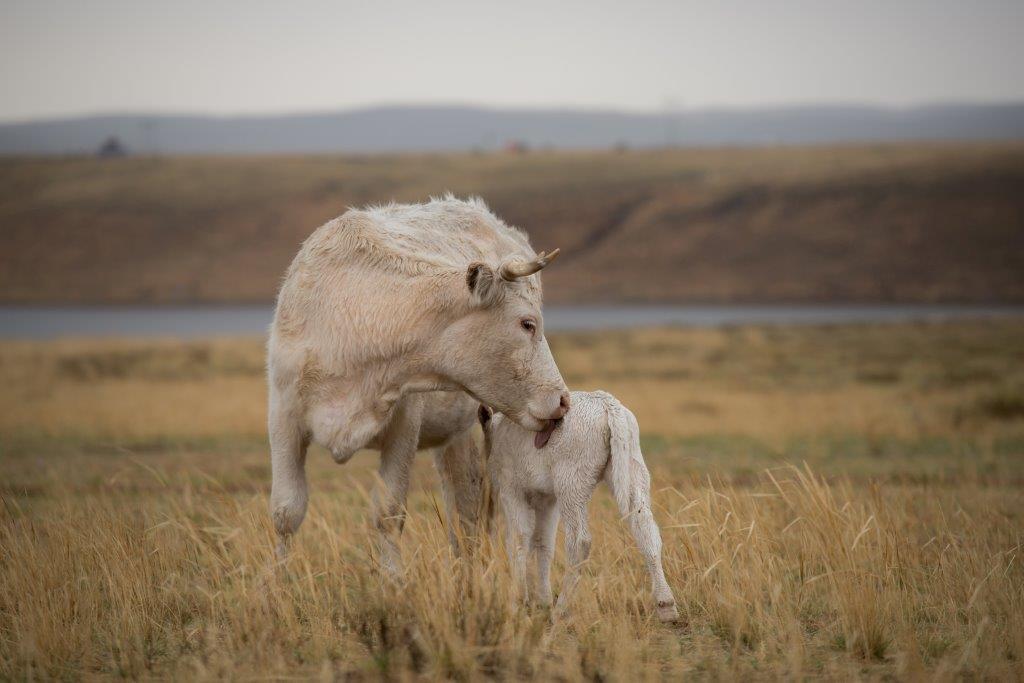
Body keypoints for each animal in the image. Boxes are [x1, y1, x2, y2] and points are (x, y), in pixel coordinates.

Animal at [266, 197, 569, 573]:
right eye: (527, 323)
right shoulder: (284, 416)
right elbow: (286, 511)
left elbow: (388, 511)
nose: (563, 400)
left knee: (469, 508)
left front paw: (392, 580)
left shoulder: (404, 423)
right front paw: (279, 580)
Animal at [479, 393, 679, 622]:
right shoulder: (548, 499)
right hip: (632, 468)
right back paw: (666, 605)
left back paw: (561, 609)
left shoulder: (511, 490)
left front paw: (518, 602)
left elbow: (518, 540)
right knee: (645, 529)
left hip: (571, 483)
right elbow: (544, 543)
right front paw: (543, 600)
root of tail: (608, 404)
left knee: (579, 541)